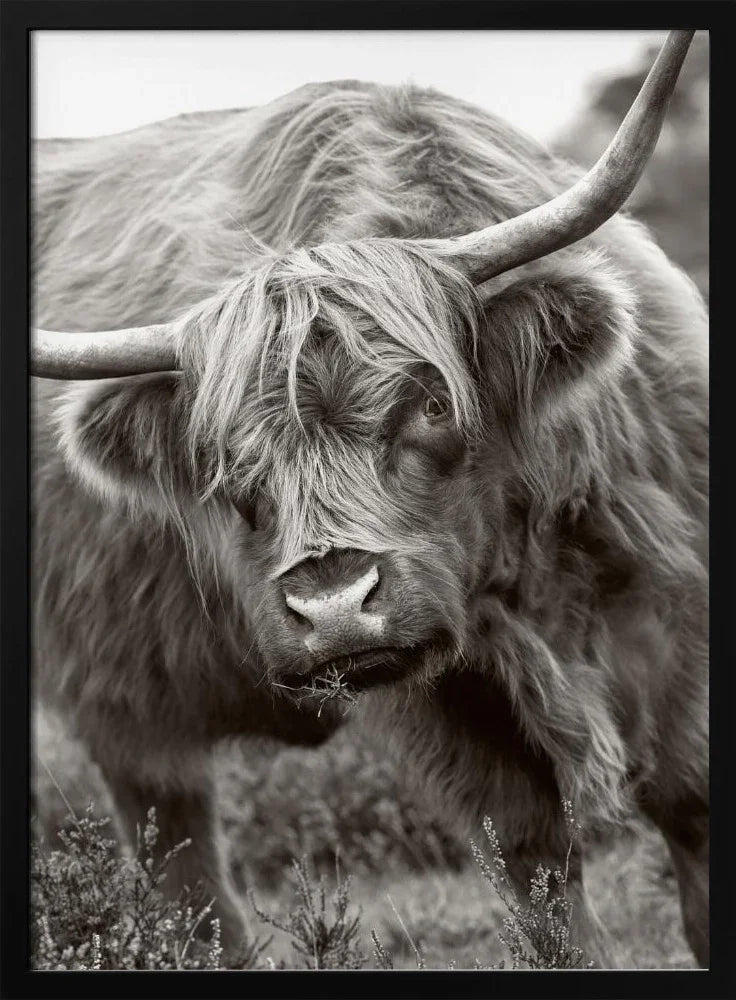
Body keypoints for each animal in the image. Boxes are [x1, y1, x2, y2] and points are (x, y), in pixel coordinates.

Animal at [31, 31, 707, 967]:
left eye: (431, 405)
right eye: (226, 457)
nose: (334, 607)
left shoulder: (680, 622)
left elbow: (691, 814)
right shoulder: (456, 714)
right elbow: (538, 878)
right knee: (182, 864)